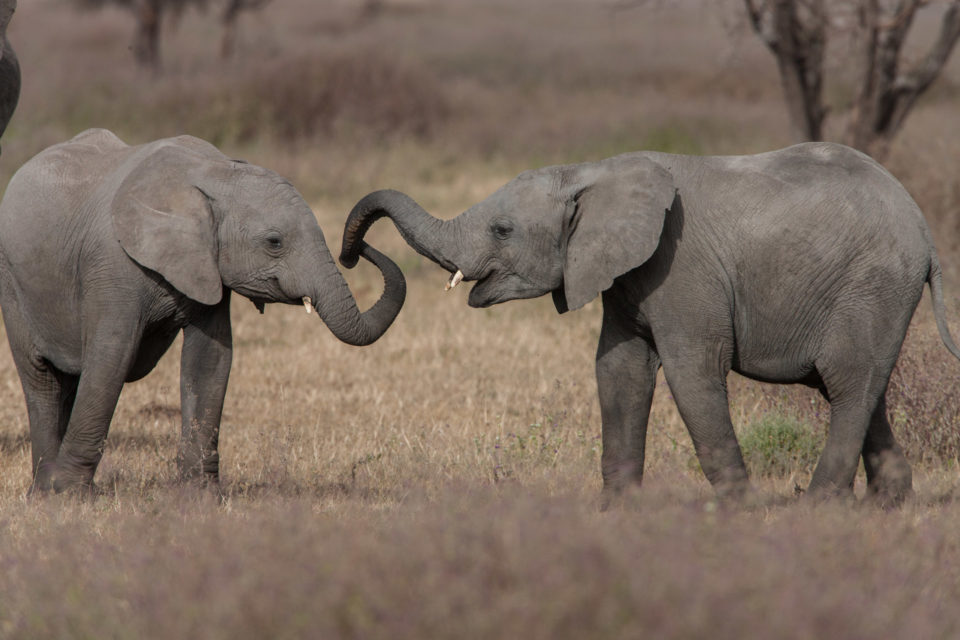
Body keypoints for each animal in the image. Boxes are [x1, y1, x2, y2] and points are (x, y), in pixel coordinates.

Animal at [0, 128, 405, 494]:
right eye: (274, 243)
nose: (358, 249)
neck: (216, 173)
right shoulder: (112, 264)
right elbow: (110, 357)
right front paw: (69, 495)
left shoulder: (208, 267)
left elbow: (210, 359)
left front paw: (200, 495)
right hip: (12, 284)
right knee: (42, 378)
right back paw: (44, 491)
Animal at [340, 142, 960, 506]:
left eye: (501, 230)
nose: (352, 255)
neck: (589, 172)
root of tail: (925, 234)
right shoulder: (625, 274)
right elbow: (618, 372)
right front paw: (618, 513)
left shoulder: (680, 268)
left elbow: (693, 372)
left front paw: (736, 512)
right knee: (862, 386)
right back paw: (886, 506)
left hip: (871, 286)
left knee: (848, 384)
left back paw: (818, 507)